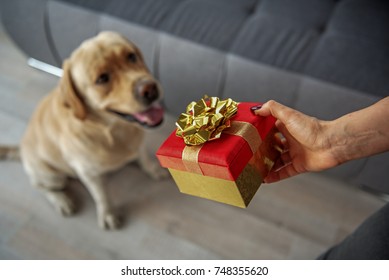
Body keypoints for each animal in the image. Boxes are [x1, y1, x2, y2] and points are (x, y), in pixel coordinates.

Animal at [1, 31, 168, 230]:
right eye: (102, 79)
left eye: (131, 56)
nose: (150, 89)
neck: (112, 129)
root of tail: (21, 148)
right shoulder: (88, 174)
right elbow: (102, 196)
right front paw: (108, 214)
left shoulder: (139, 145)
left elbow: (144, 159)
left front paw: (154, 170)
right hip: (50, 175)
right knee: (41, 187)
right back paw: (62, 201)